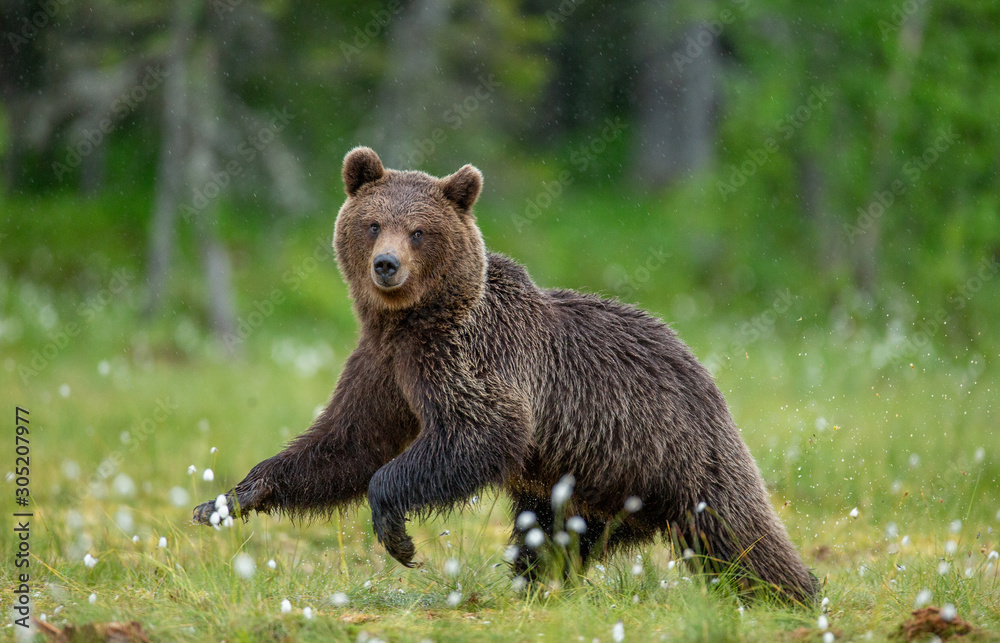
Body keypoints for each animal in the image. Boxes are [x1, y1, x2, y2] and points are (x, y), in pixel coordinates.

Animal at [193, 147, 818, 603]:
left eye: (418, 231)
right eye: (372, 223)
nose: (386, 266)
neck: (411, 322)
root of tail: (703, 371)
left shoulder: (470, 358)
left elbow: (480, 429)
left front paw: (398, 536)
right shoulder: (383, 366)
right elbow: (347, 442)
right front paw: (228, 499)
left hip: (676, 451)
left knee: (740, 535)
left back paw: (799, 591)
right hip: (578, 484)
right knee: (551, 540)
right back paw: (535, 585)